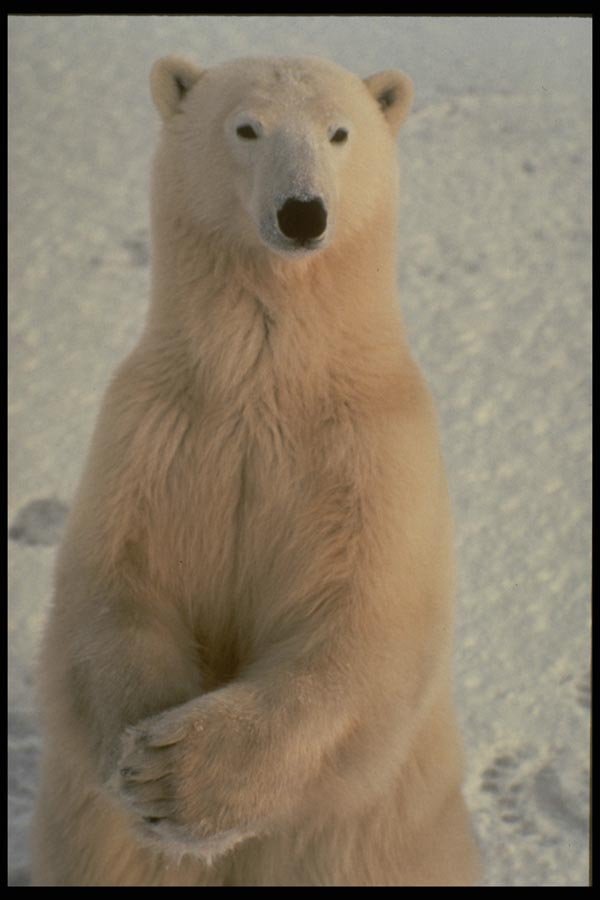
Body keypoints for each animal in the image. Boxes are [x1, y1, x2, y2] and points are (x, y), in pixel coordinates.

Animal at [31, 54, 482, 886]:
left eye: (339, 132)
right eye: (247, 127)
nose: (303, 213)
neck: (265, 380)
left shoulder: (371, 451)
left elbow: (362, 624)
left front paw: (177, 776)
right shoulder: (156, 431)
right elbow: (116, 586)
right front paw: (137, 756)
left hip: (386, 844)